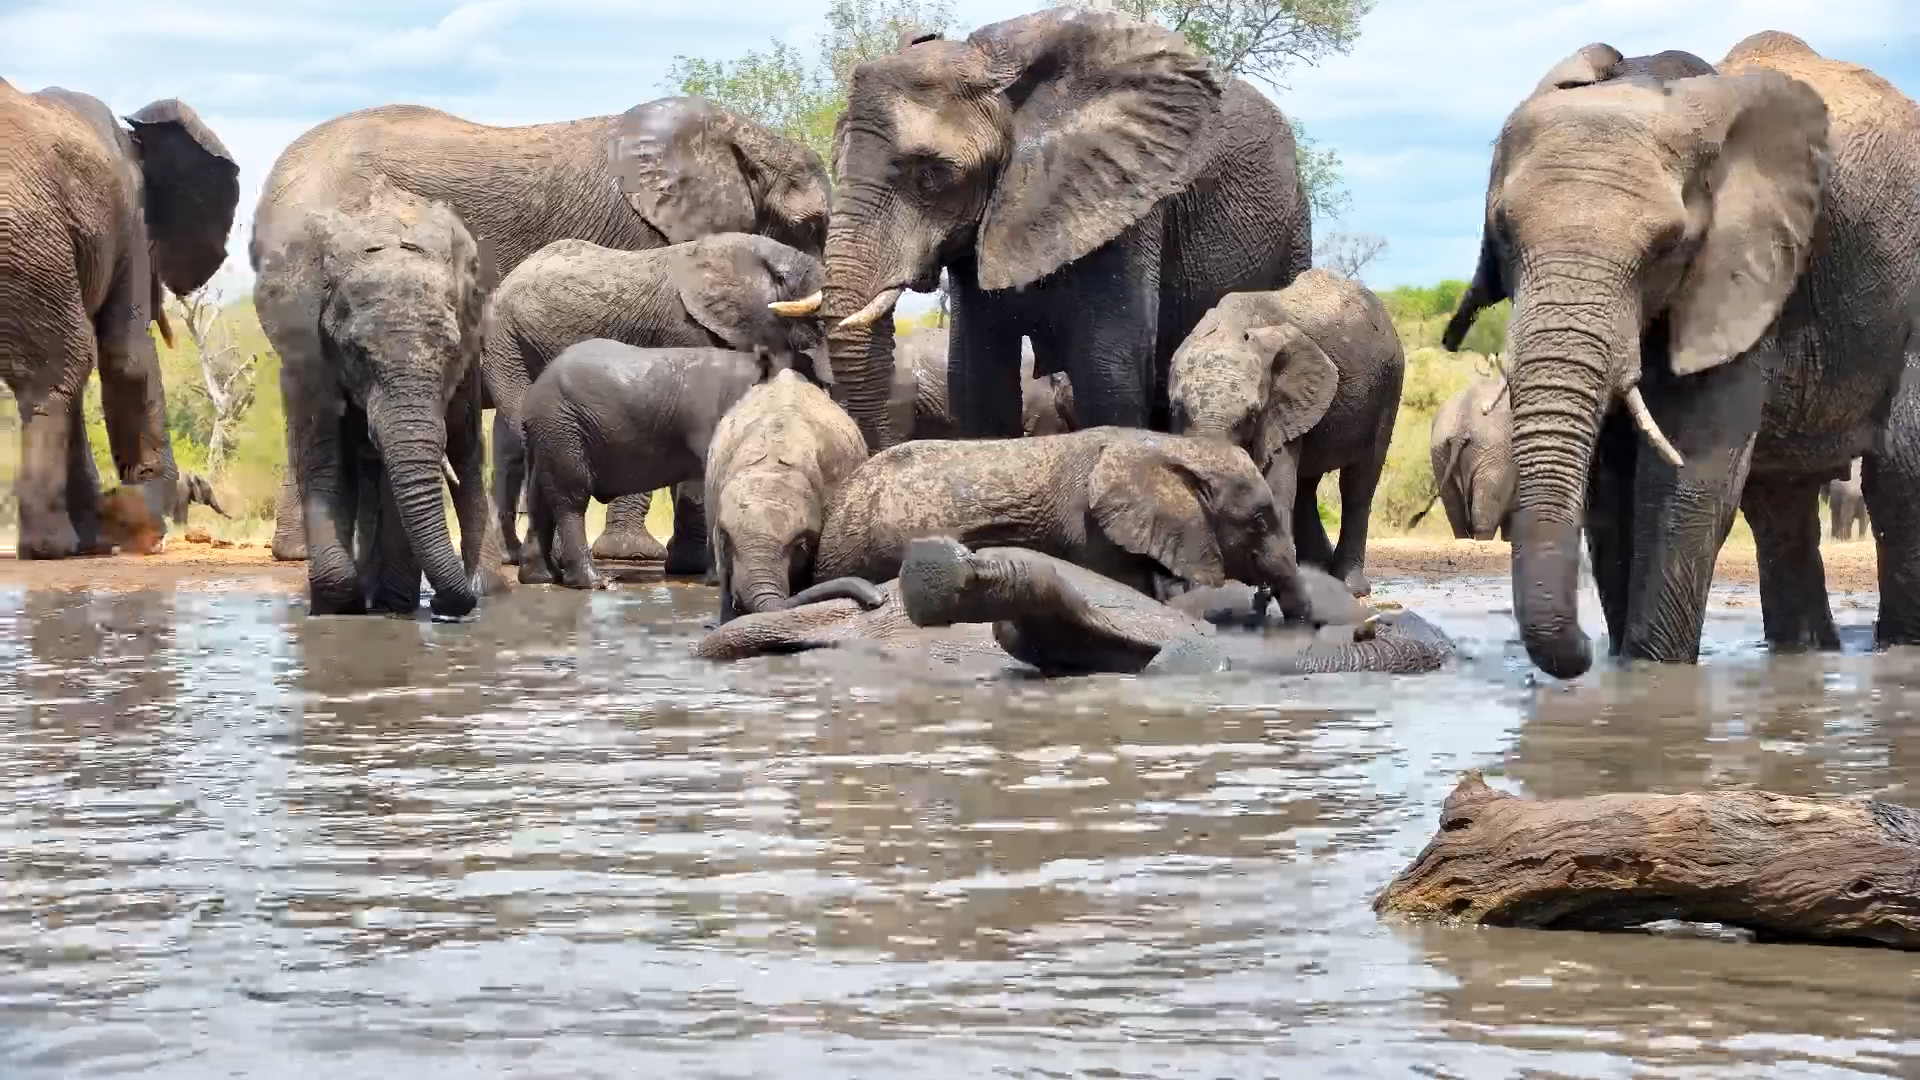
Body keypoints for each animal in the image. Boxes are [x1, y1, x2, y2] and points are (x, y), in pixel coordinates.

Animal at [251, 179, 495, 617]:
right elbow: (328, 462)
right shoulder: (313, 361)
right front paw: (339, 602)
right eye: (357, 353)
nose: (441, 605)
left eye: (450, 352)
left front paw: (392, 605)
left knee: (465, 452)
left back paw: (482, 590)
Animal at [519, 342, 791, 590]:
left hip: (549, 433)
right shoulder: (709, 422)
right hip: (562, 427)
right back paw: (594, 583)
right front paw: (715, 583)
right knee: (571, 499)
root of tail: (535, 389)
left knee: (539, 498)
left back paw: (541, 578)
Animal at [1166, 269, 1406, 594]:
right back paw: (1315, 569)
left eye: (1252, 415)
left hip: (1389, 385)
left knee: (1358, 485)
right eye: (1177, 407)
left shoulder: (1281, 406)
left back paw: (1349, 586)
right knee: (1307, 486)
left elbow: (1276, 482)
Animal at [1442, 34, 1920, 677]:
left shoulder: (1741, 275)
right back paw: (1805, 653)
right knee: (1780, 504)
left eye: (1668, 246)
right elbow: (1611, 487)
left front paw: (1649, 675)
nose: (1585, 650)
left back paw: (1897, 649)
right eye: (1502, 231)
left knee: (1899, 468)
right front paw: (1626, 675)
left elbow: (1688, 477)